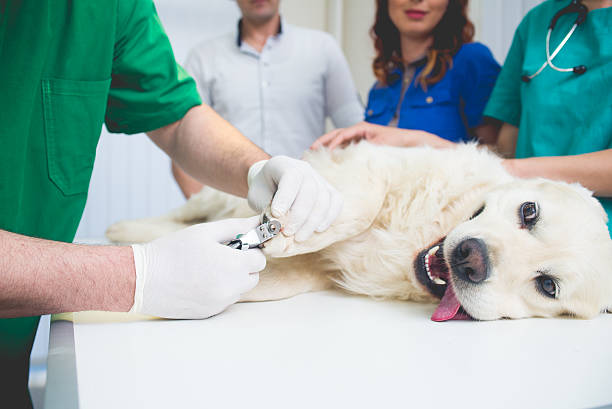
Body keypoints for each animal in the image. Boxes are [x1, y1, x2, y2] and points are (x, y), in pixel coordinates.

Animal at [105, 142, 612, 320]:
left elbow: (270, 280)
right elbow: (361, 200)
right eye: (529, 211)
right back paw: (122, 226)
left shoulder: (314, 275)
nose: (470, 258)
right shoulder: (371, 161)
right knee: (187, 211)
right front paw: (293, 228)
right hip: (214, 197)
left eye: (548, 286)